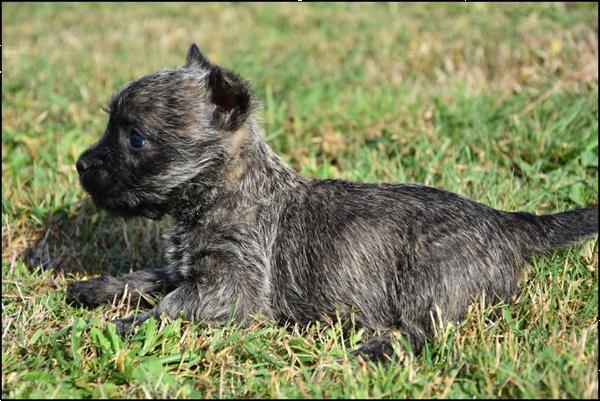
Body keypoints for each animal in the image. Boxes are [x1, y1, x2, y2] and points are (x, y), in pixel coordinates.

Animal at [69, 44, 596, 362]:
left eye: (135, 138)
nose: (80, 164)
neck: (227, 192)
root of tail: (508, 223)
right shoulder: (189, 270)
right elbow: (149, 276)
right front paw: (99, 288)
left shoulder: (227, 288)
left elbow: (169, 307)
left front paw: (119, 326)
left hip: (431, 283)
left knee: (427, 332)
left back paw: (370, 351)